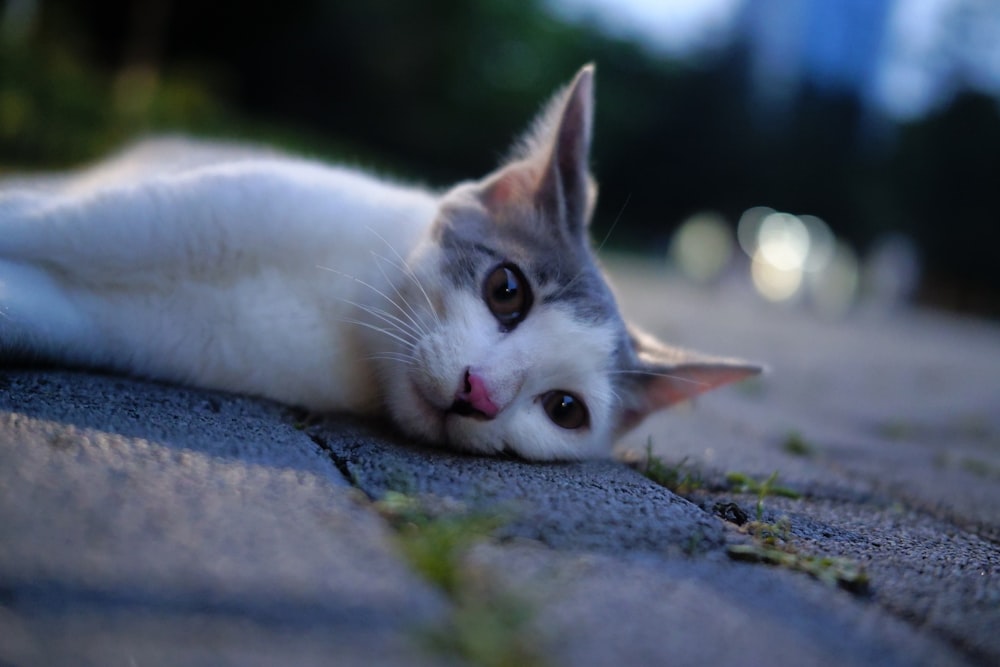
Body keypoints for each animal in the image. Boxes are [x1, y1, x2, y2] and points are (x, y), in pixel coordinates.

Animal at [0, 66, 756, 460]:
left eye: (564, 409)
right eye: (506, 289)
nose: (481, 394)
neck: (339, 311)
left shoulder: (120, 330)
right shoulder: (168, 211)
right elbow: (31, 219)